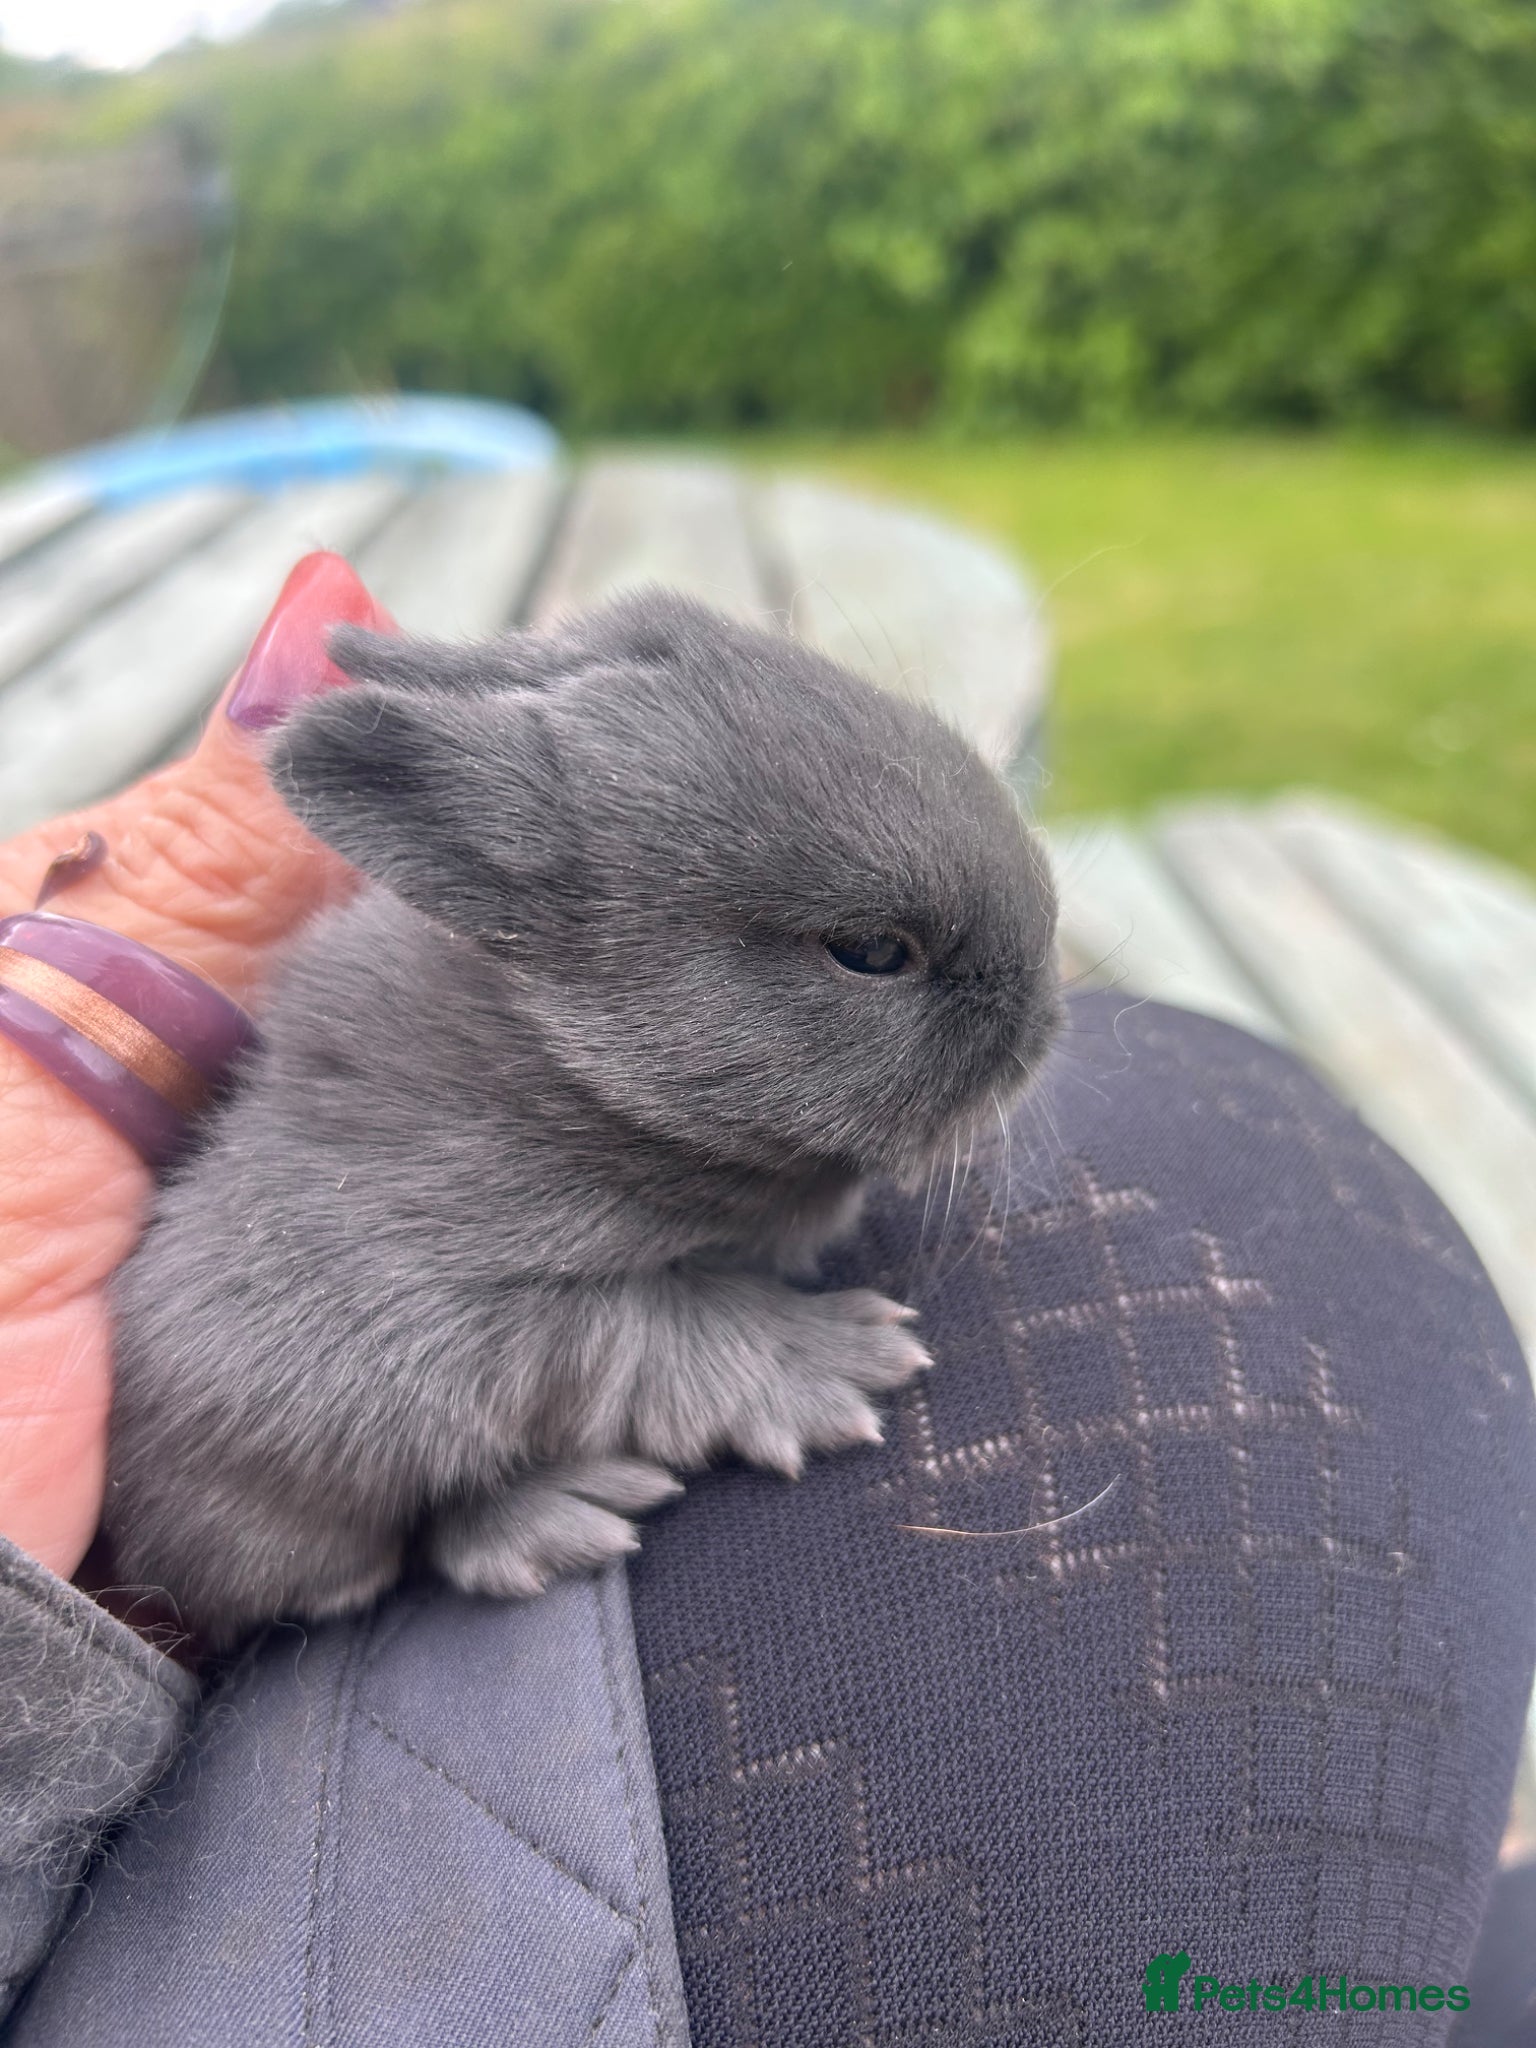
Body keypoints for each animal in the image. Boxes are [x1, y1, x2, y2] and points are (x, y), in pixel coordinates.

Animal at [104, 589, 1060, 1650]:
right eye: (871, 952)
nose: (1046, 1023)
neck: (585, 1085)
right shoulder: (442, 1308)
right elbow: (650, 1325)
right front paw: (837, 1361)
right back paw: (561, 1517)